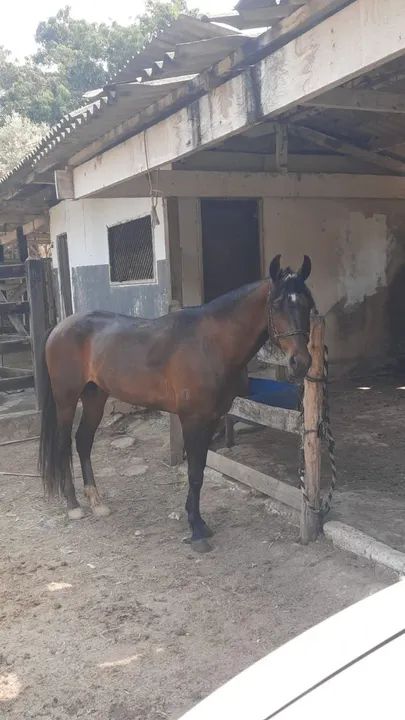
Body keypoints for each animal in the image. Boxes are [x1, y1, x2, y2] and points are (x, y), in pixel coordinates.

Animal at [39, 254, 314, 552]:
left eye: (307, 303)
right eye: (277, 304)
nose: (301, 362)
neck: (211, 343)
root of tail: (59, 327)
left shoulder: (212, 418)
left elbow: (200, 471)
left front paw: (199, 522)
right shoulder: (192, 419)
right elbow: (193, 473)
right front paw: (196, 531)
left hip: (95, 396)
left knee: (83, 441)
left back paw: (96, 501)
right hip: (66, 400)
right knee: (64, 444)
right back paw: (73, 505)